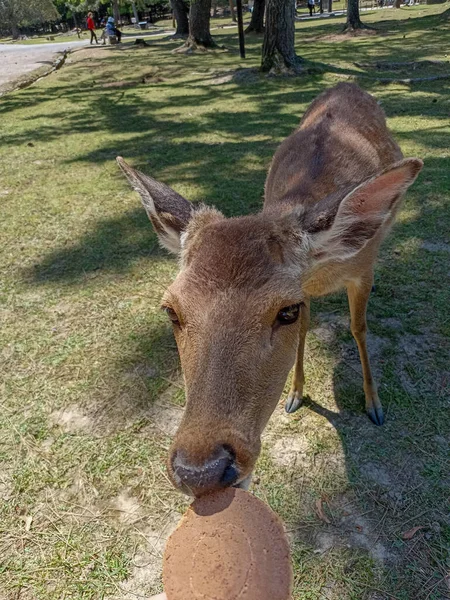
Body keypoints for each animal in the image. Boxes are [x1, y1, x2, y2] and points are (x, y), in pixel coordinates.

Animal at [116, 83, 422, 496]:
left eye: (285, 311)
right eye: (171, 310)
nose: (201, 471)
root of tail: (347, 84)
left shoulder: (362, 270)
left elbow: (358, 328)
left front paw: (374, 405)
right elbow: (307, 331)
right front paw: (294, 396)